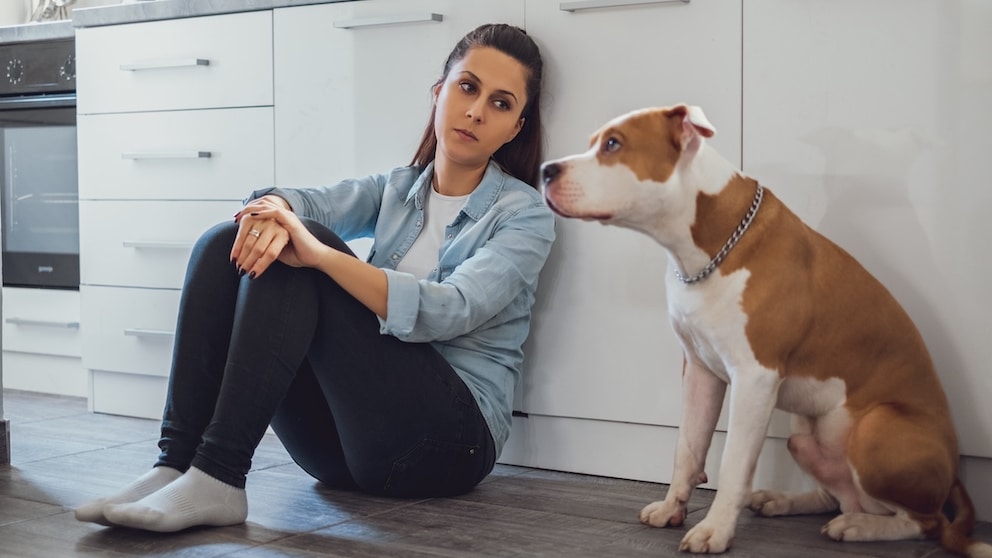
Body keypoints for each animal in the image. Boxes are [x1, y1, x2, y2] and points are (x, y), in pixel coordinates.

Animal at [544, 105, 992, 558]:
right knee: (840, 495)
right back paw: (785, 501)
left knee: (925, 522)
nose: (546, 170)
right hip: (803, 434)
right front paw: (673, 508)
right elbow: (687, 447)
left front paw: (715, 530)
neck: (706, 247)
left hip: (876, 430)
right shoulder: (699, 371)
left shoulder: (754, 379)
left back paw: (861, 527)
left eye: (613, 144)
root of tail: (955, 471)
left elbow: (734, 464)